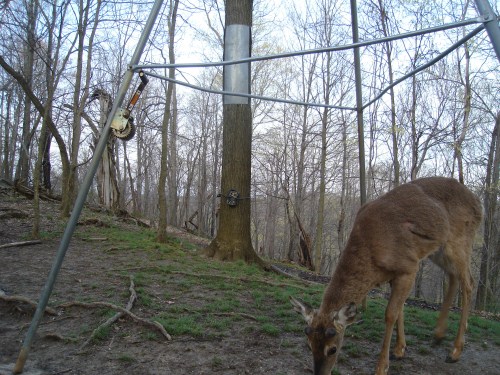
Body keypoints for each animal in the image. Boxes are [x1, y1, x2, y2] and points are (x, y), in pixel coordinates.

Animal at [292, 177, 482, 375]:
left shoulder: (409, 267)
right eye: (309, 345)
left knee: (469, 283)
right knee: (453, 277)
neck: (371, 252)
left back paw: (455, 351)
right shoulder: (394, 274)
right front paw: (399, 349)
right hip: (440, 251)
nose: (320, 373)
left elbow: (391, 313)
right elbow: (400, 310)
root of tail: (479, 203)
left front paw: (382, 366)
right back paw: (438, 335)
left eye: (333, 349)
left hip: (460, 241)